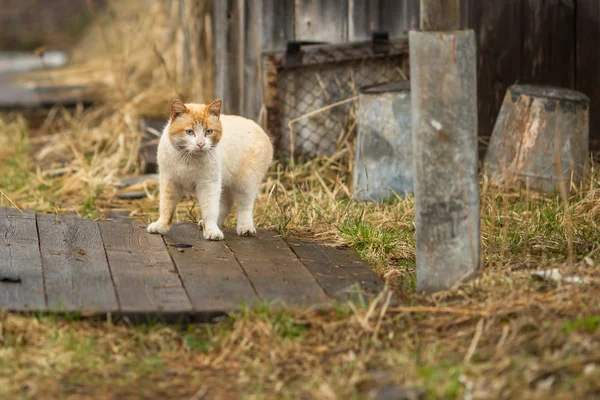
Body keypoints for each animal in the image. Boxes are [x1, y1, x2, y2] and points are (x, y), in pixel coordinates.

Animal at [148, 97, 274, 241]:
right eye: (189, 132)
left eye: (208, 132)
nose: (200, 144)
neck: (188, 158)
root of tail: (260, 129)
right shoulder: (169, 182)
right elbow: (166, 207)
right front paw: (161, 226)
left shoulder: (208, 184)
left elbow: (210, 210)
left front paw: (211, 230)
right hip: (225, 184)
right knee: (226, 203)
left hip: (245, 184)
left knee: (244, 207)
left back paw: (245, 228)